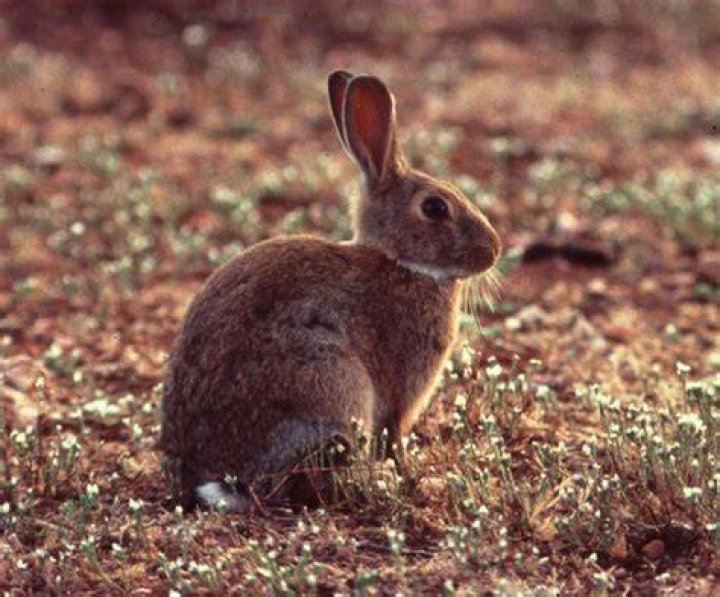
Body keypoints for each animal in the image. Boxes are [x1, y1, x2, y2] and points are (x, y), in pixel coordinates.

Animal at [159, 70, 501, 511]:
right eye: (435, 208)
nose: (494, 250)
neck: (400, 263)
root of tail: (209, 476)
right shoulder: (397, 394)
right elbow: (394, 441)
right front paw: (412, 480)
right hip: (332, 381)